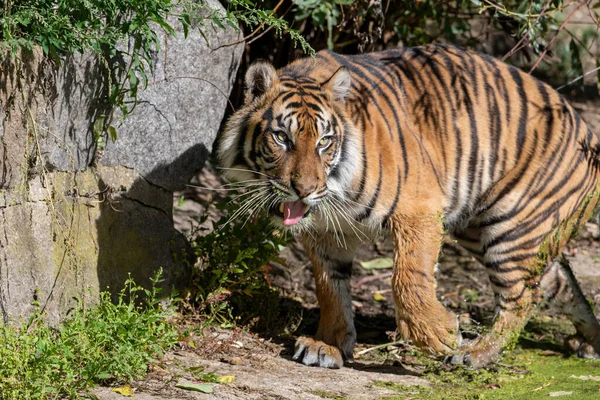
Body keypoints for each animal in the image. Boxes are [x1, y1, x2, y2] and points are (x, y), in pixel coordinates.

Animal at [218, 43, 600, 368]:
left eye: (324, 142)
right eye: (282, 137)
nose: (305, 190)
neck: (335, 190)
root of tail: (589, 132)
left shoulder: (419, 208)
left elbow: (408, 277)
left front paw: (439, 335)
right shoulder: (327, 232)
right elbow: (330, 287)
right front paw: (328, 344)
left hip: (511, 229)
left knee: (522, 297)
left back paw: (475, 353)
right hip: (484, 231)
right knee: (556, 283)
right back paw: (590, 342)